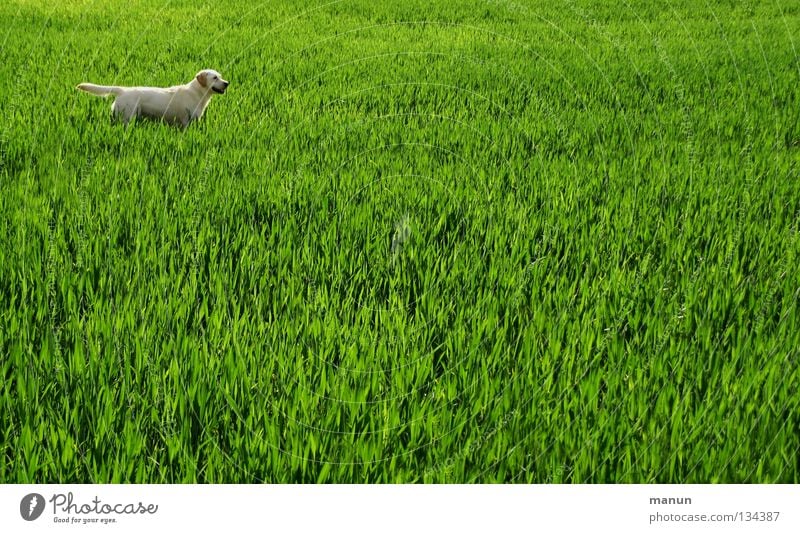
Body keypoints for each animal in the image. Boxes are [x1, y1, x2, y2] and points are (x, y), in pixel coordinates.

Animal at [76, 69, 228, 127]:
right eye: (215, 78)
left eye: (220, 76)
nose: (227, 83)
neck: (197, 93)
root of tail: (122, 90)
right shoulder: (186, 121)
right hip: (127, 117)